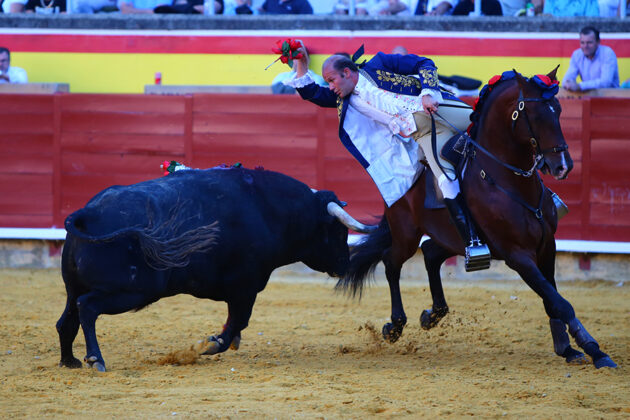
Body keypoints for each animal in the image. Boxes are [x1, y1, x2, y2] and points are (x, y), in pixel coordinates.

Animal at [58, 167, 376, 370]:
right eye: (338, 231)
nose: (345, 264)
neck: (267, 208)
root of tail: (87, 212)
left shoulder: (241, 290)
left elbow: (236, 322)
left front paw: (226, 341)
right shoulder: (245, 287)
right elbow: (239, 321)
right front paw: (212, 344)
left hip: (75, 287)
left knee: (67, 319)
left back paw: (69, 362)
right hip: (132, 290)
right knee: (87, 308)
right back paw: (96, 360)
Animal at [338, 67, 620, 370]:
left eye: (558, 110)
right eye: (536, 116)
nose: (563, 166)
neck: (507, 179)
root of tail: (409, 174)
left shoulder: (547, 247)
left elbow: (551, 298)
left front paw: (567, 349)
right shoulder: (518, 256)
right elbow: (559, 301)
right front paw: (595, 350)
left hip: (452, 238)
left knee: (430, 253)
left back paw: (432, 315)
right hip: (406, 233)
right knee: (392, 262)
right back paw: (395, 326)